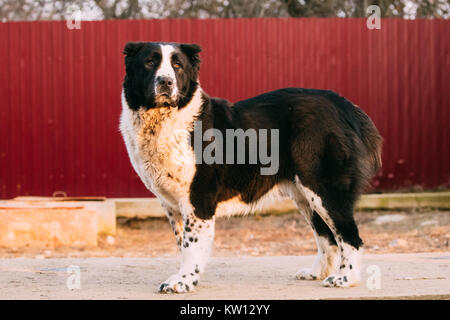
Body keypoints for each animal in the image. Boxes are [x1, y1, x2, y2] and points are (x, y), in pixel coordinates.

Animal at [118, 41, 380, 294]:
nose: (166, 81)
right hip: (305, 195)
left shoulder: (198, 201)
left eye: (177, 65)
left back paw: (346, 279)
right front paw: (184, 278)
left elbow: (191, 247)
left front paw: (183, 282)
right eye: (150, 62)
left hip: (324, 189)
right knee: (327, 238)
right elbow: (182, 244)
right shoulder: (172, 205)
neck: (167, 118)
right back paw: (317, 273)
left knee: (350, 236)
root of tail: (342, 104)